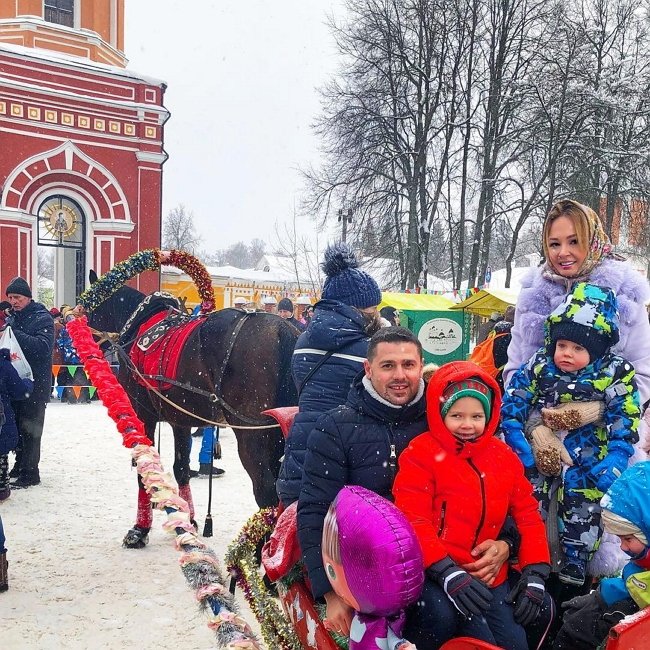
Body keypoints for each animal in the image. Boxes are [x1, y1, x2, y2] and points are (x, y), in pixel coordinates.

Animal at [85, 276, 298, 544]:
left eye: (90, 306)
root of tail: (283, 329)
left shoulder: (144, 415)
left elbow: (145, 471)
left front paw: (140, 529)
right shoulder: (181, 420)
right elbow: (181, 469)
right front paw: (189, 520)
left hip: (252, 436)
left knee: (266, 491)